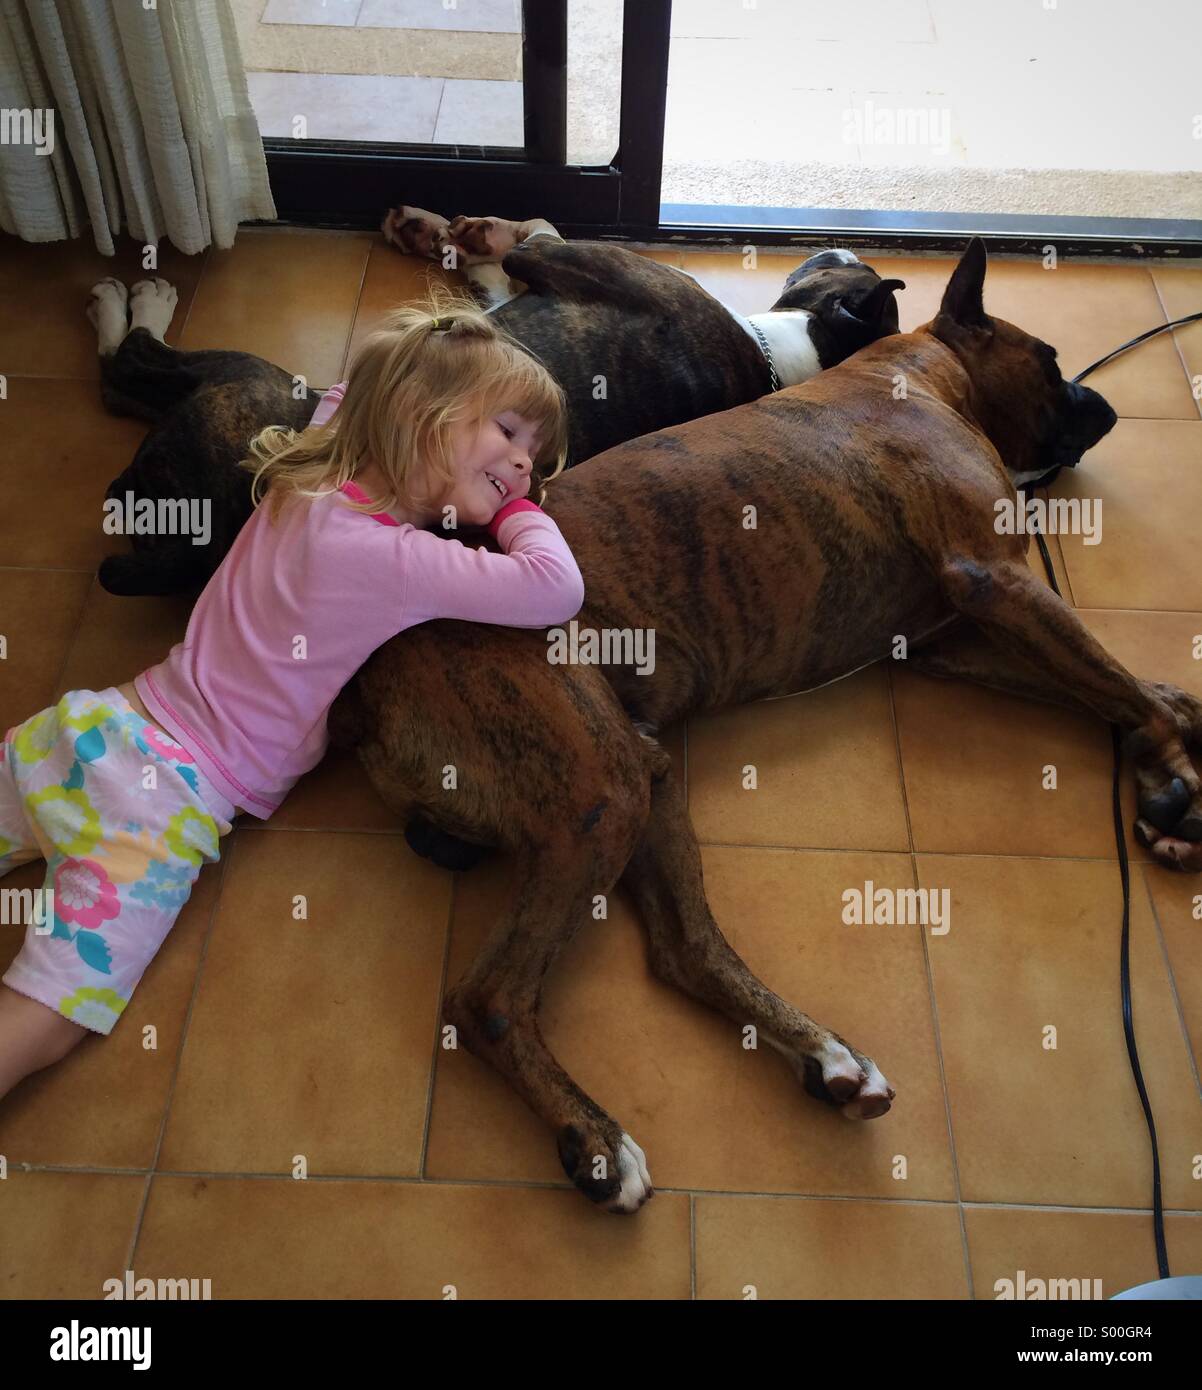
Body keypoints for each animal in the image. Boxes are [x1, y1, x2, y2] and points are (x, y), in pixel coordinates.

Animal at [91, 209, 900, 597]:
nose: (844, 244)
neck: (782, 357)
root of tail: (198, 542)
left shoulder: (557, 260)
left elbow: (530, 232)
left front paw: (468, 226)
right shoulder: (510, 288)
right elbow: (490, 263)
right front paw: (428, 228)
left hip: (253, 384)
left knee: (127, 366)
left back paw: (134, 300)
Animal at [326, 241, 1200, 1217]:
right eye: (1048, 360)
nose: (1105, 405)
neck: (921, 373)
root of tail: (368, 675)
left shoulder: (957, 638)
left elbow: (1112, 683)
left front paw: (1170, 738)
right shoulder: (994, 580)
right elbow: (1117, 683)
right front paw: (1176, 773)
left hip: (640, 776)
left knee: (683, 950)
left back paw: (824, 1057)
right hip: (600, 791)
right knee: (489, 1002)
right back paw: (596, 1141)